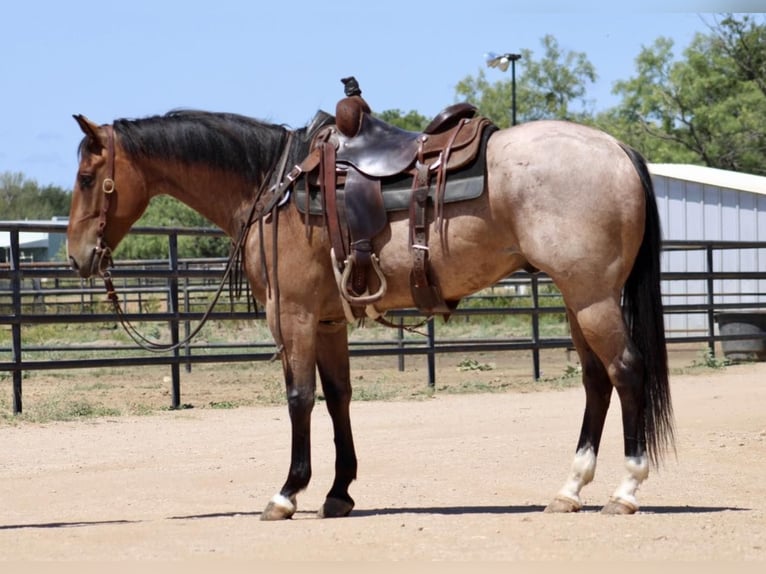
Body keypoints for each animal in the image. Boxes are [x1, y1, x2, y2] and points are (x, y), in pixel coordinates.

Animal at [69, 107, 676, 520]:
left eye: (85, 178)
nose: (77, 256)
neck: (275, 187)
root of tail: (619, 150)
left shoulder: (292, 316)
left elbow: (299, 398)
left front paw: (287, 493)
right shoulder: (328, 321)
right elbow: (338, 398)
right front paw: (339, 493)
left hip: (592, 297)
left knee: (626, 372)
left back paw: (625, 490)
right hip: (578, 300)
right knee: (596, 381)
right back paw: (569, 490)